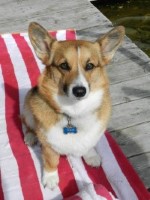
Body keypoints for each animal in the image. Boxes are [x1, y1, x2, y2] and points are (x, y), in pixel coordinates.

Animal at [22, 22, 125, 190]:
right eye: (63, 65)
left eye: (90, 66)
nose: (79, 91)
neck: (75, 110)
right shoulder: (49, 145)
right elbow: (51, 161)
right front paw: (50, 178)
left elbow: (88, 144)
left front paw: (91, 156)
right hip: (28, 109)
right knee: (26, 123)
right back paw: (31, 136)